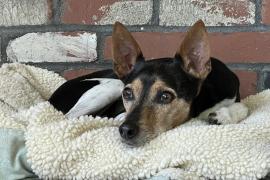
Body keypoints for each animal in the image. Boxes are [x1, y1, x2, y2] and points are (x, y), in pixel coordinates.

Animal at [49, 19, 248, 146]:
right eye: (128, 94)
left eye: (165, 96)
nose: (125, 131)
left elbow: (244, 106)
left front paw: (223, 115)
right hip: (112, 86)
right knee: (70, 118)